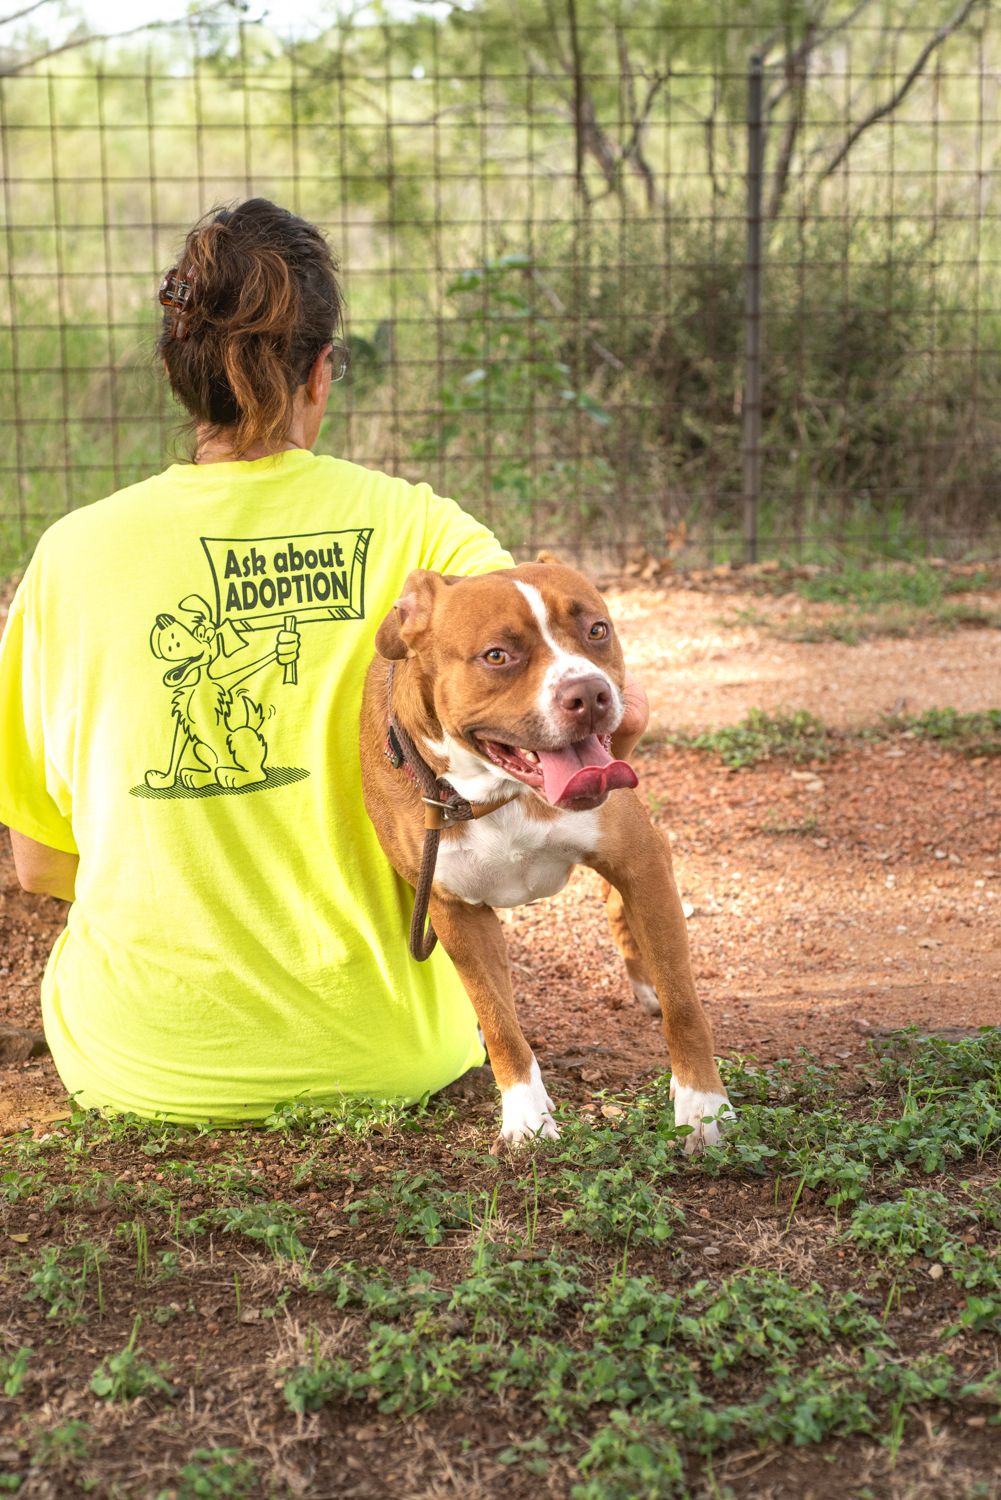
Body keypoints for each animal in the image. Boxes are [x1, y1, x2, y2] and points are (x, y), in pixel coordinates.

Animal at [355, 558, 732, 1152]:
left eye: (597, 630)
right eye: (497, 656)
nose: (590, 693)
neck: (494, 793)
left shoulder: (639, 861)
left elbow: (683, 1003)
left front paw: (703, 1106)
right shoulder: (455, 910)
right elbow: (500, 1021)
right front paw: (526, 1118)